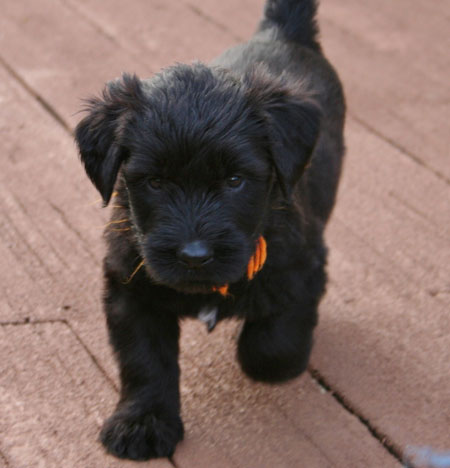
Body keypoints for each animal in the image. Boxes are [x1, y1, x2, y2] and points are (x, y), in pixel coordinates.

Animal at [74, 0, 344, 460]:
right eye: (155, 182)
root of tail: (281, 32)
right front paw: (143, 422)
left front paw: (281, 360)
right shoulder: (130, 289)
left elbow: (271, 346)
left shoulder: (304, 264)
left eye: (235, 180)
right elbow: (144, 361)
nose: (195, 256)